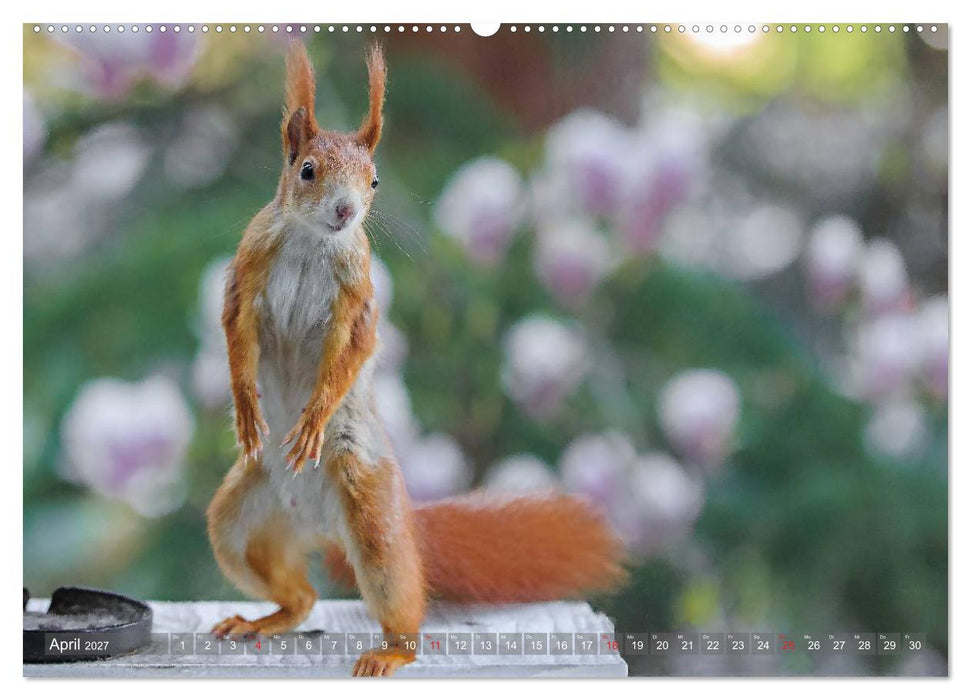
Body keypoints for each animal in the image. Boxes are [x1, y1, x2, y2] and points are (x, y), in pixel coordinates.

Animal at [206, 41, 626, 677]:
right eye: (307, 171)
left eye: (375, 180)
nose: (346, 212)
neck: (311, 241)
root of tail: (314, 523)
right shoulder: (249, 270)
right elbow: (237, 335)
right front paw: (246, 409)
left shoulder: (356, 293)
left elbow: (352, 353)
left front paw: (313, 417)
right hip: (240, 522)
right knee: (299, 594)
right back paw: (263, 619)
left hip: (369, 508)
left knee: (397, 593)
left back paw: (391, 651)